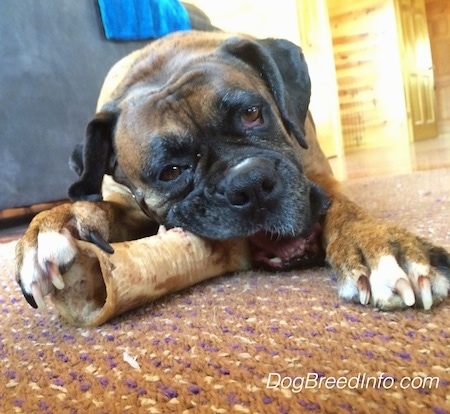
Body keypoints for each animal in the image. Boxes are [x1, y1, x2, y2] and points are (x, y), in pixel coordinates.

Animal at [14, 29, 450, 314]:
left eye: (253, 113)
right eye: (171, 171)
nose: (251, 183)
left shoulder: (316, 175)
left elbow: (344, 208)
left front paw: (379, 246)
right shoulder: (126, 203)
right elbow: (97, 208)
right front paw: (58, 223)